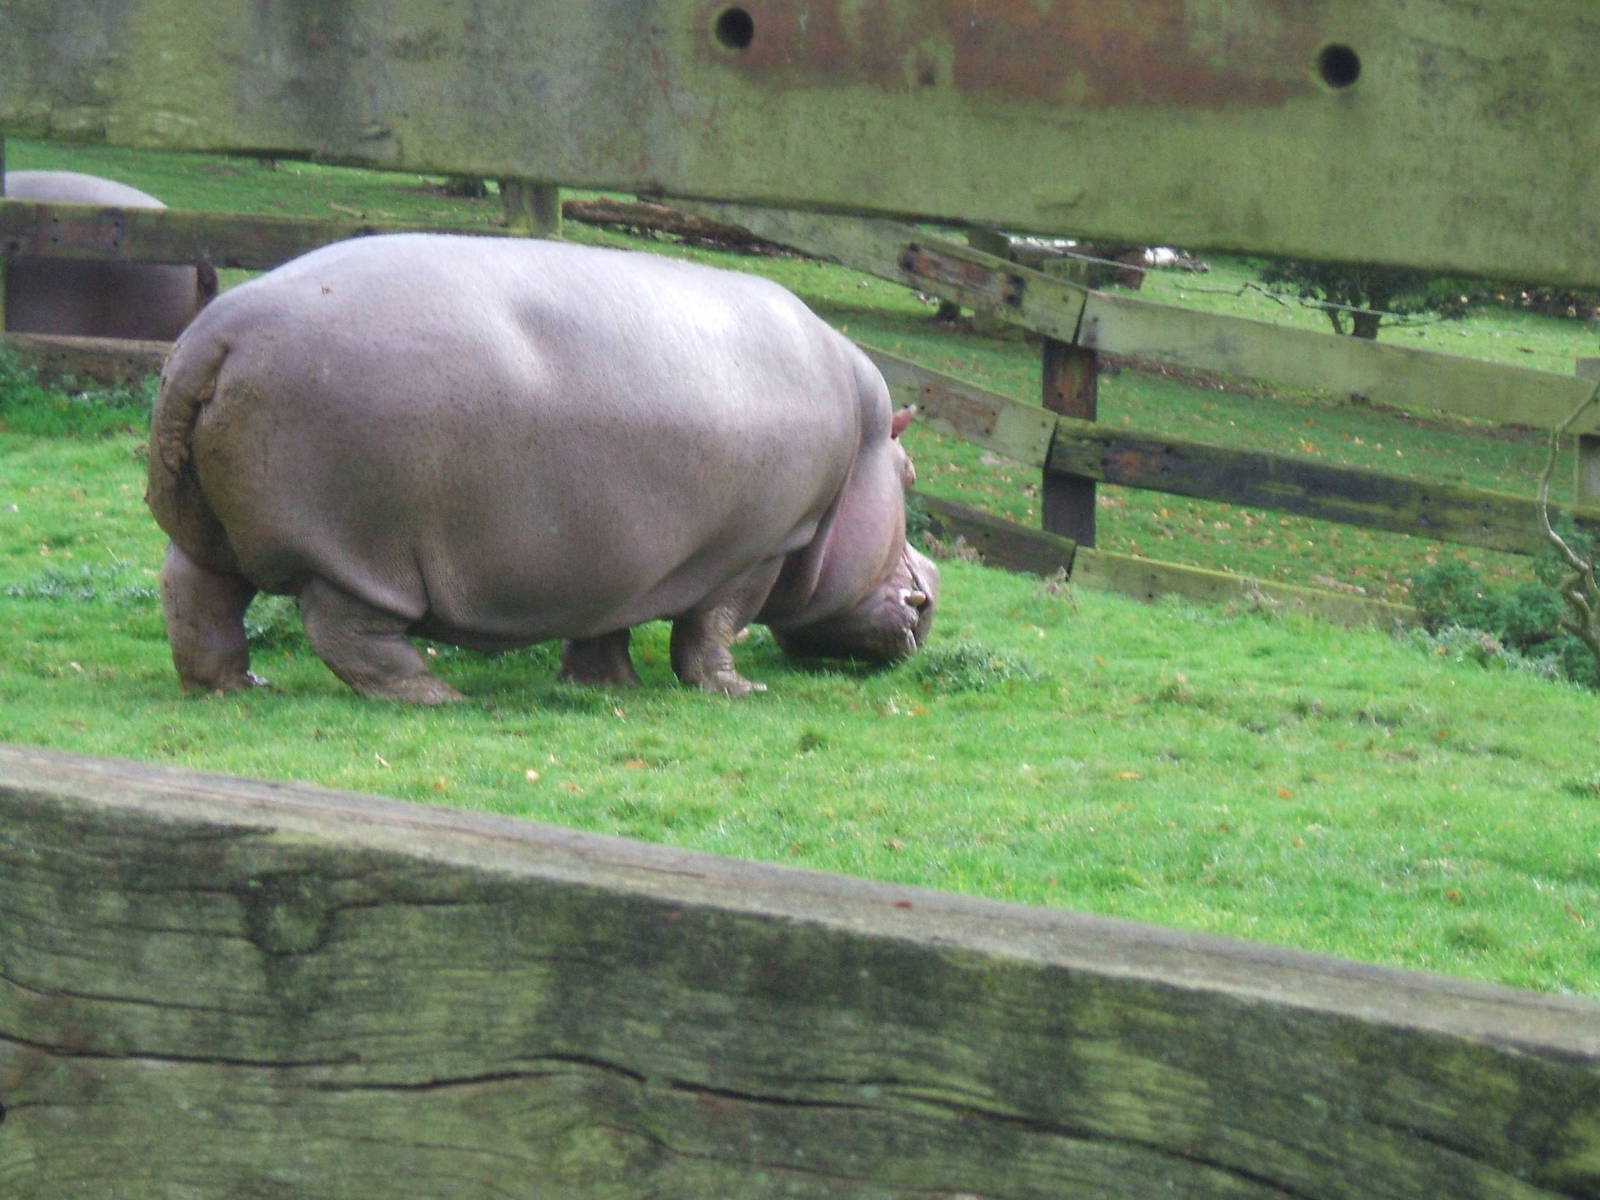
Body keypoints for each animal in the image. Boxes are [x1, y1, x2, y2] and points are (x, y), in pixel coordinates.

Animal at [146, 234, 937, 702]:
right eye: (910, 477)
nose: (931, 592)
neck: (862, 442)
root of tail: (214, 336)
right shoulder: (762, 546)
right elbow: (712, 628)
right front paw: (738, 692)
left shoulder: (620, 564)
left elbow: (604, 629)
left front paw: (606, 687)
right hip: (362, 548)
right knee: (345, 629)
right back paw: (436, 696)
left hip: (209, 525)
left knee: (197, 592)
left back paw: (237, 685)